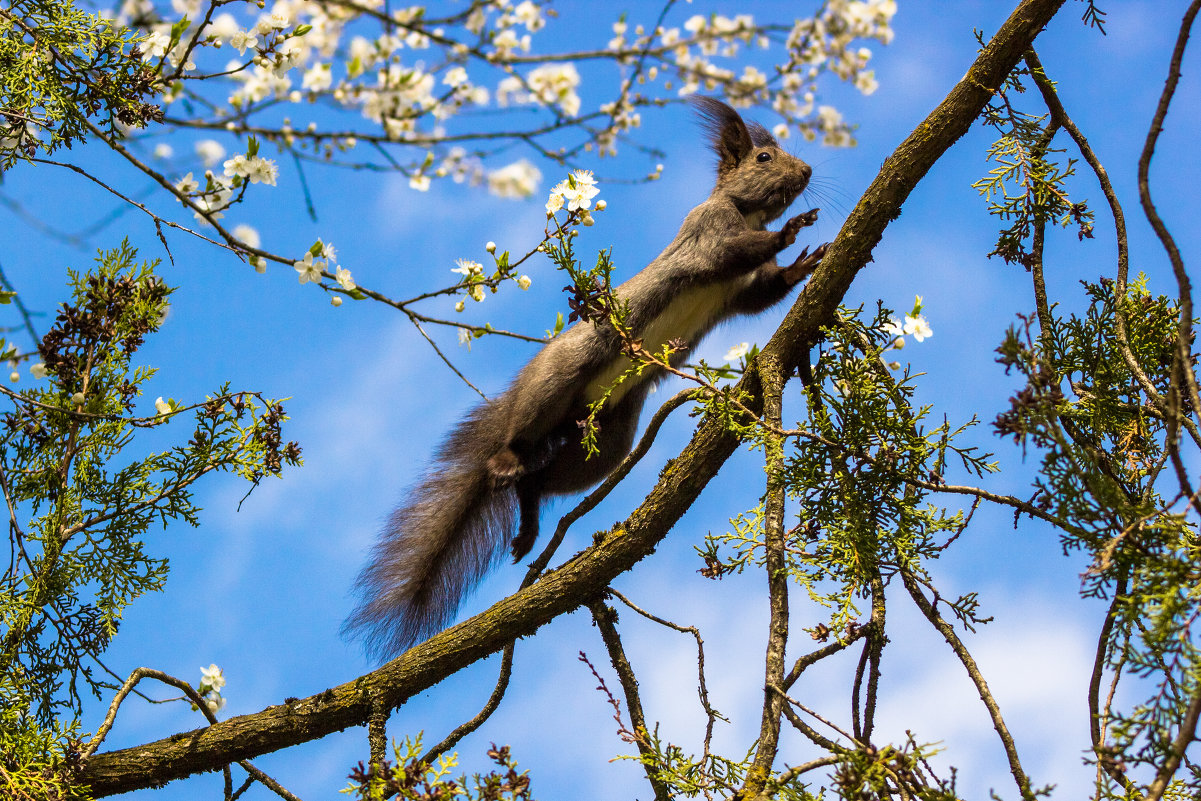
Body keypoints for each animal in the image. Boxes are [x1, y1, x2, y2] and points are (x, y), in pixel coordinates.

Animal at [343, 95, 821, 658]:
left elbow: (761, 294)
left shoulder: (738, 292)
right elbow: (729, 253)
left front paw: (803, 263)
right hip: (561, 376)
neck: (745, 212)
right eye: (764, 158)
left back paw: (529, 517)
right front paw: (789, 232)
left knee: (544, 480)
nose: (807, 172)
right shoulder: (707, 235)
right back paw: (506, 461)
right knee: (518, 443)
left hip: (608, 439)